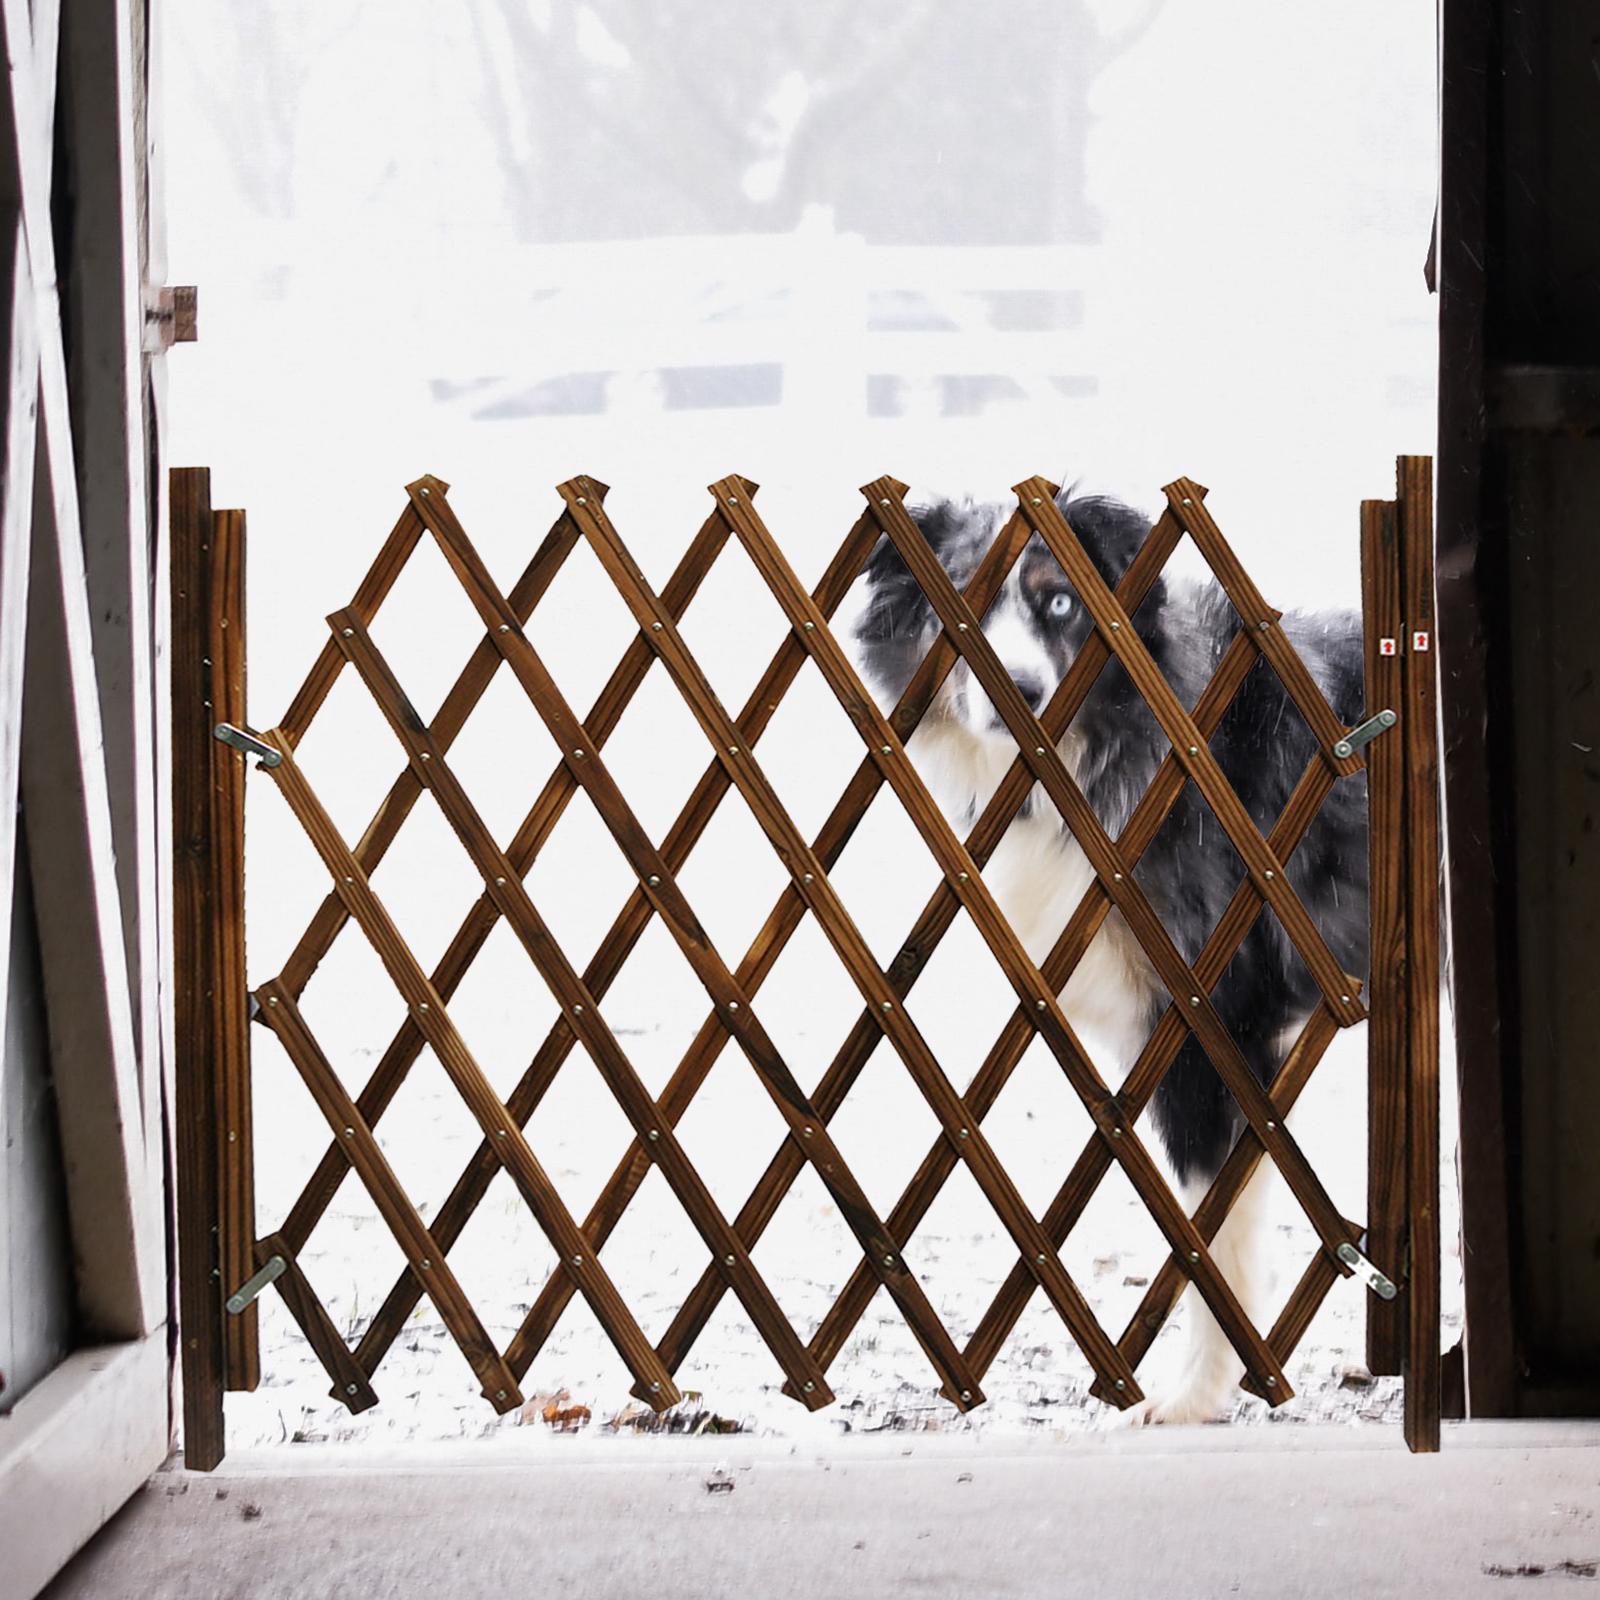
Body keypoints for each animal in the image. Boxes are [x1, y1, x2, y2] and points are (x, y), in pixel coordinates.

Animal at [857, 486, 1369, 1427]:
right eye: (960, 600)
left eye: (1061, 603)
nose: (1020, 691)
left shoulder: (1212, 1019)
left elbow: (1208, 1227)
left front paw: (1197, 1394)